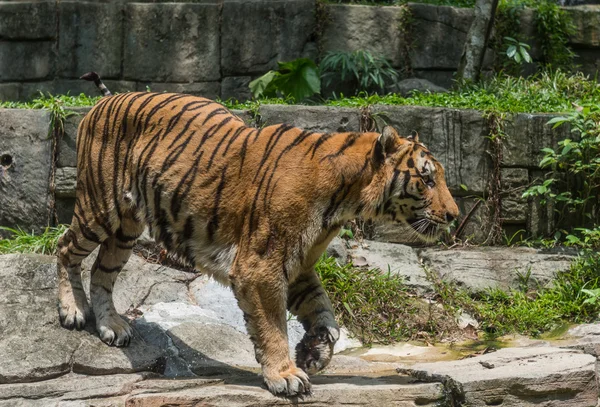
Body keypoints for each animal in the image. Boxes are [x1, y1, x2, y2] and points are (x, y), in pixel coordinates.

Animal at [57, 71, 460, 396]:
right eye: (427, 179)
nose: (454, 215)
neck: (346, 199)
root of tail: (105, 100)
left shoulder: (298, 263)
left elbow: (324, 310)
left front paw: (315, 351)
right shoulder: (261, 267)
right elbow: (272, 325)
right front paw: (286, 375)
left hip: (126, 227)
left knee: (102, 271)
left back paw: (111, 325)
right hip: (99, 207)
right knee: (64, 248)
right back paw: (72, 310)